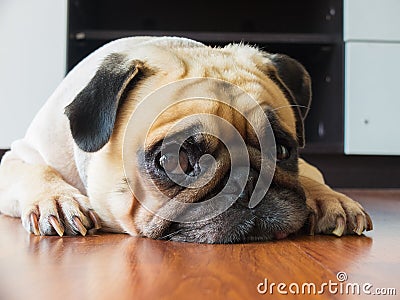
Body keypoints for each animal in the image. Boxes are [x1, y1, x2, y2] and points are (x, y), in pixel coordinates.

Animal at [0, 36, 372, 243]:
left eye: (281, 151)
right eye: (174, 160)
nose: (248, 181)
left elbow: (311, 177)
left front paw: (330, 199)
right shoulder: (20, 157)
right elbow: (35, 171)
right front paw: (57, 200)